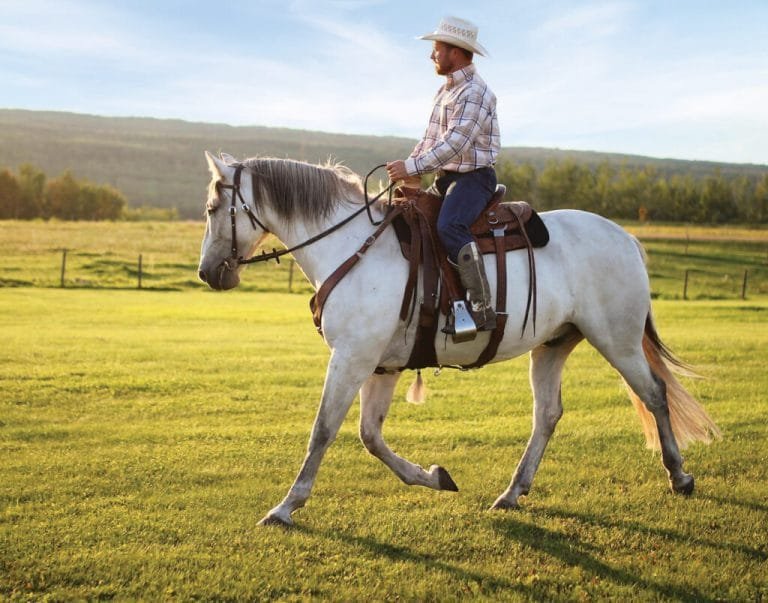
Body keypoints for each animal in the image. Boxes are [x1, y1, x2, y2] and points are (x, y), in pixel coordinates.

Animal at [197, 151, 720, 527]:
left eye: (212, 208)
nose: (207, 273)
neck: (352, 248)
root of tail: (626, 238)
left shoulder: (352, 359)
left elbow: (323, 431)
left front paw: (286, 506)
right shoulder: (381, 365)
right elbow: (371, 436)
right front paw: (434, 477)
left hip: (618, 340)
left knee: (654, 393)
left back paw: (680, 476)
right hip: (553, 346)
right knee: (548, 415)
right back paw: (512, 493)